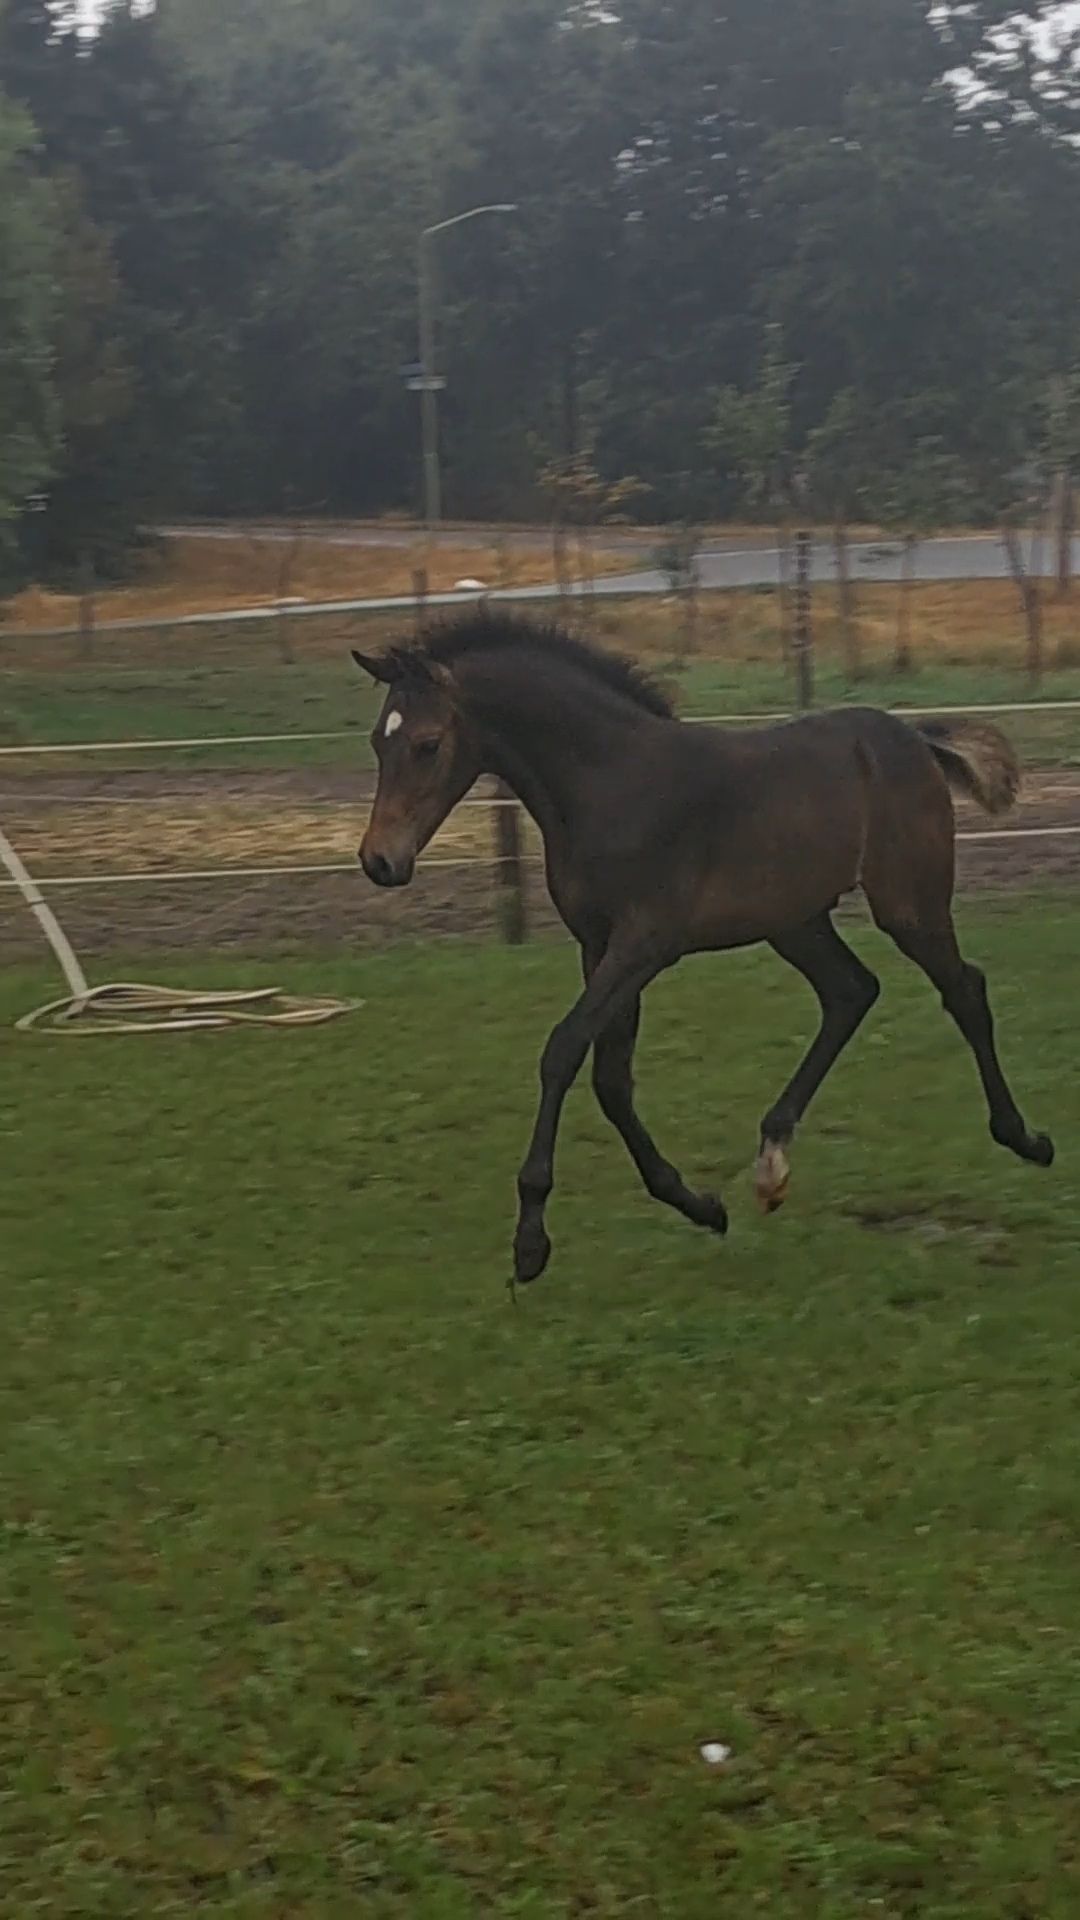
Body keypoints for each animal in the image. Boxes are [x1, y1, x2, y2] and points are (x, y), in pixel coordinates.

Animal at [353, 609, 1053, 1288]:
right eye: (378, 741)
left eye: (428, 744)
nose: (379, 862)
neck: (611, 782)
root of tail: (914, 738)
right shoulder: (598, 946)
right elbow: (611, 1080)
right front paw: (700, 1206)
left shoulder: (644, 943)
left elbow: (563, 1051)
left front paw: (530, 1242)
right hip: (794, 921)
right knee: (851, 991)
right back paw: (771, 1165)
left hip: (908, 905)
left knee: (963, 989)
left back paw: (1026, 1139)